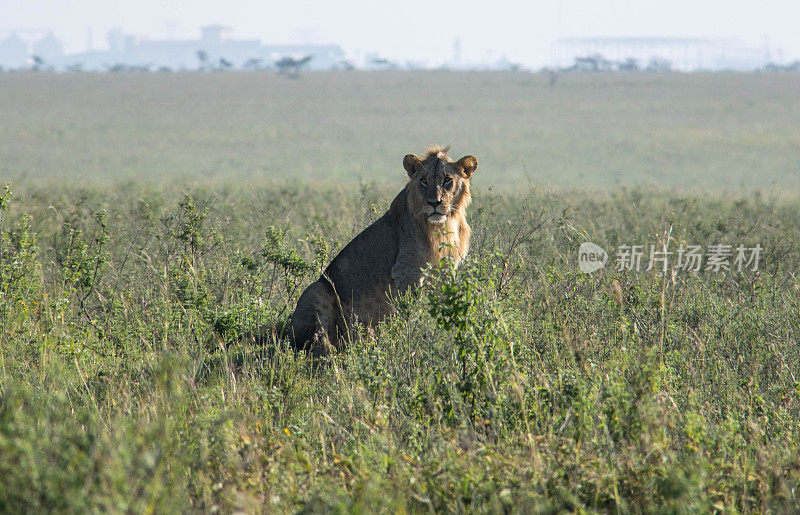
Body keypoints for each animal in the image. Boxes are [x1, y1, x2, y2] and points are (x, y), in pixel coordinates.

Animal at [290, 145, 478, 354]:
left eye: (447, 180)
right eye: (424, 180)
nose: (434, 203)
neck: (444, 225)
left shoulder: (446, 271)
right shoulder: (407, 271)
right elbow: (410, 312)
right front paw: (410, 338)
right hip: (316, 289)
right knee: (316, 341)